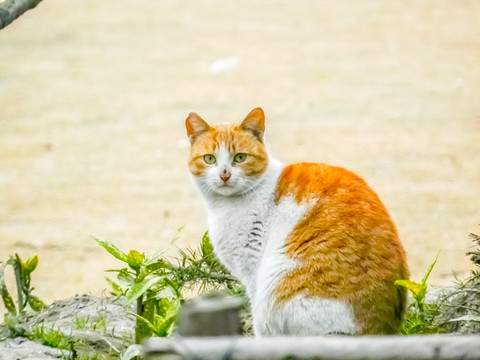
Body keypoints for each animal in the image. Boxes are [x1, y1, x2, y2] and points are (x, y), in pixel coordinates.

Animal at [184, 106, 408, 334]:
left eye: (240, 157)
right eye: (210, 159)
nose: (224, 174)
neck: (224, 207)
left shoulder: (253, 272)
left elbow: (258, 322)